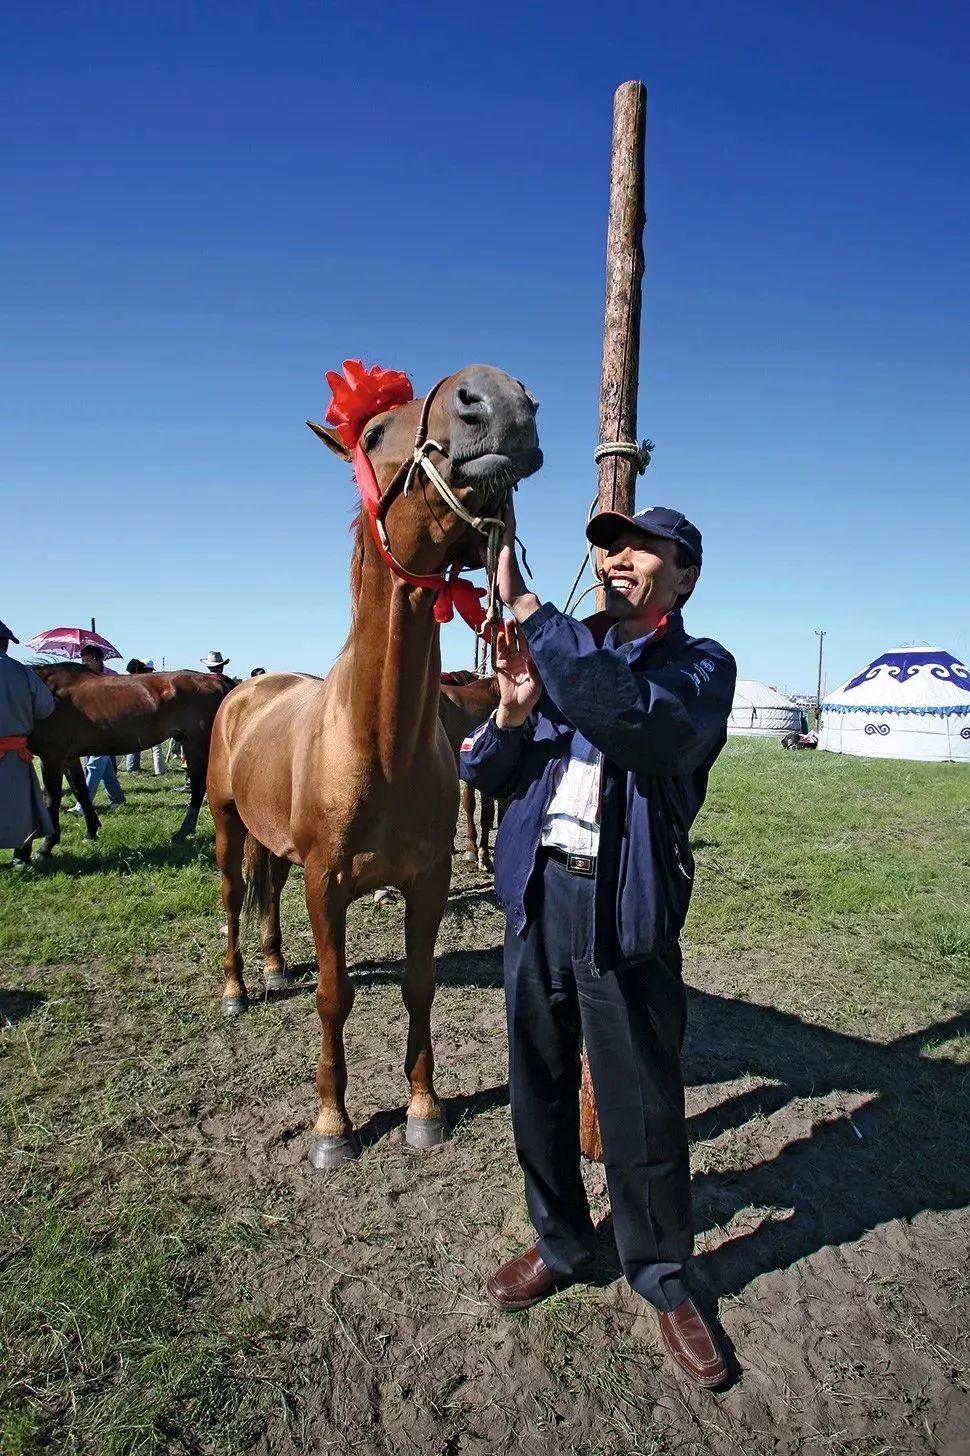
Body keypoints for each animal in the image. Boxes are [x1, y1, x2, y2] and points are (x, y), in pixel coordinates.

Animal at [26, 666, 230, 856]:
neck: (48, 693)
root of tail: (216, 681)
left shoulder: (52, 755)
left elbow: (51, 798)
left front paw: (46, 846)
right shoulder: (69, 758)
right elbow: (81, 791)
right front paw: (91, 831)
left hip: (196, 746)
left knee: (199, 787)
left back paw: (183, 832)